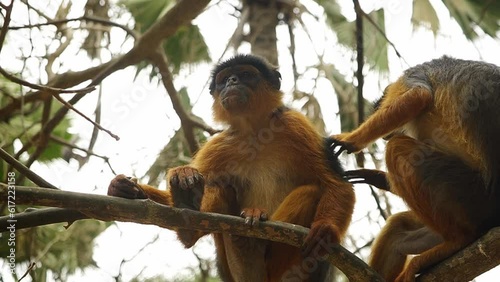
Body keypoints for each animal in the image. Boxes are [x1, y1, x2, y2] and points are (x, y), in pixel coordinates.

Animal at [108, 54, 356, 280]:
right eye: (224, 79)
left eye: (245, 74)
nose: (232, 81)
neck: (255, 134)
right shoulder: (219, 145)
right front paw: (125, 190)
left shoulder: (294, 125)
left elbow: (336, 184)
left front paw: (326, 230)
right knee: (220, 186)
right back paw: (189, 219)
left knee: (311, 192)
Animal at [334, 56, 500, 280]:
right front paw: (377, 177)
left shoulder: (410, 76)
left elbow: (418, 96)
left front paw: (349, 141)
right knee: (398, 229)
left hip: (470, 195)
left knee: (396, 148)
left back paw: (459, 240)